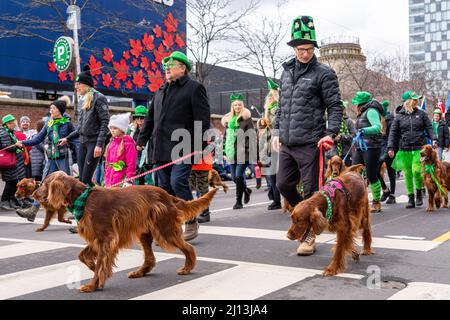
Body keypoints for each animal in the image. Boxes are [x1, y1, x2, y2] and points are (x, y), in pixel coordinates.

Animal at [32, 172, 217, 292]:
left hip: (165, 229)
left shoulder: (106, 237)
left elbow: (100, 262)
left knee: (188, 248)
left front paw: (93, 284)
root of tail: (167, 195)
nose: (33, 194)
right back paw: (140, 272)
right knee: (150, 258)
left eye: (45, 183)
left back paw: (187, 268)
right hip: (145, 232)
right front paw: (95, 270)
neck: (83, 198)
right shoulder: (97, 237)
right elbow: (83, 256)